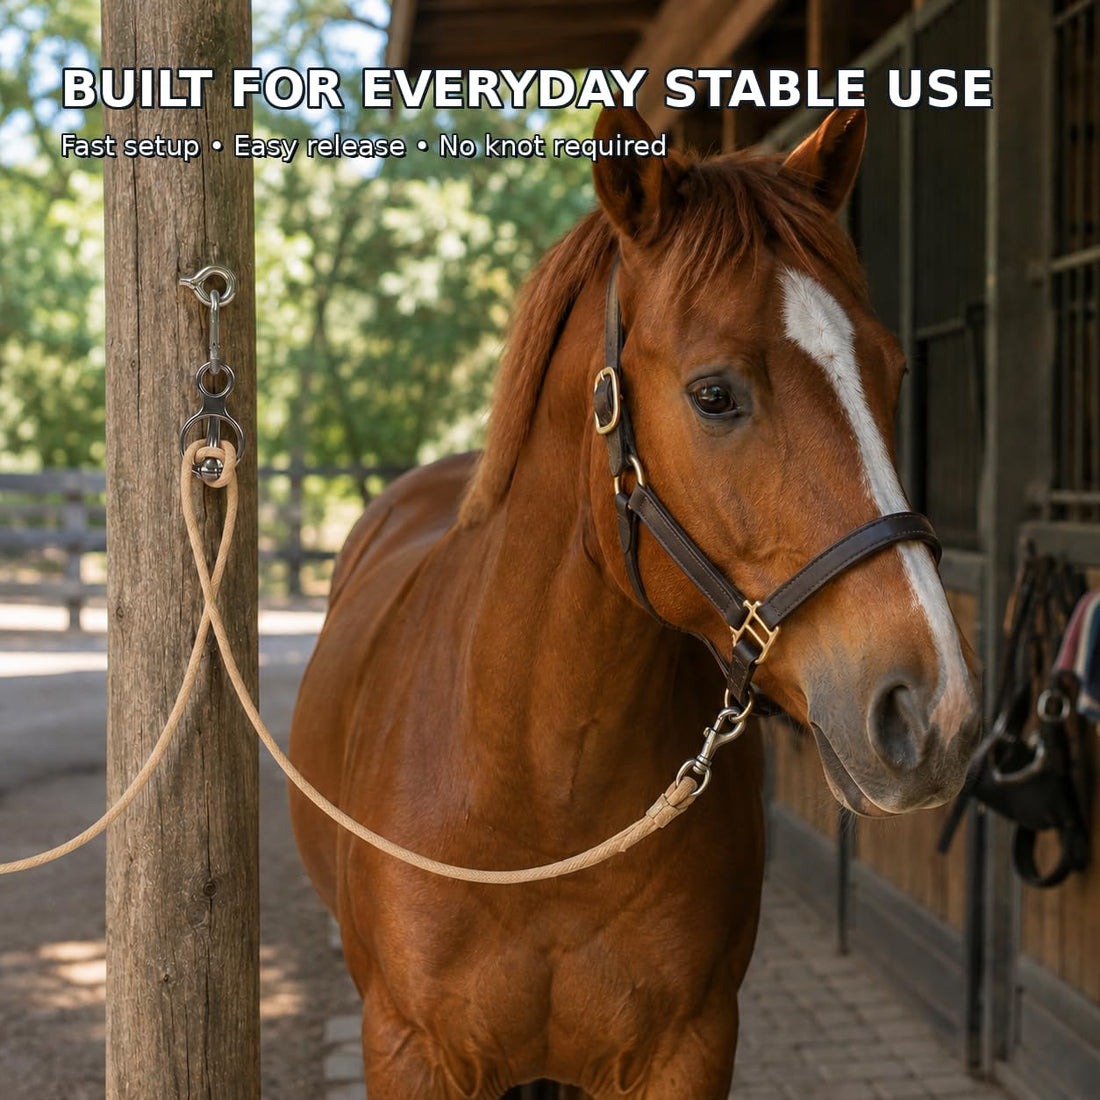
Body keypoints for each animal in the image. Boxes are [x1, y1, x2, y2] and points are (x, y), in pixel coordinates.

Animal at [288, 105, 981, 1098]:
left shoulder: (689, 1047)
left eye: (893, 374)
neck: (541, 805)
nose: (935, 713)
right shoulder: (408, 1052)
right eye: (714, 394)